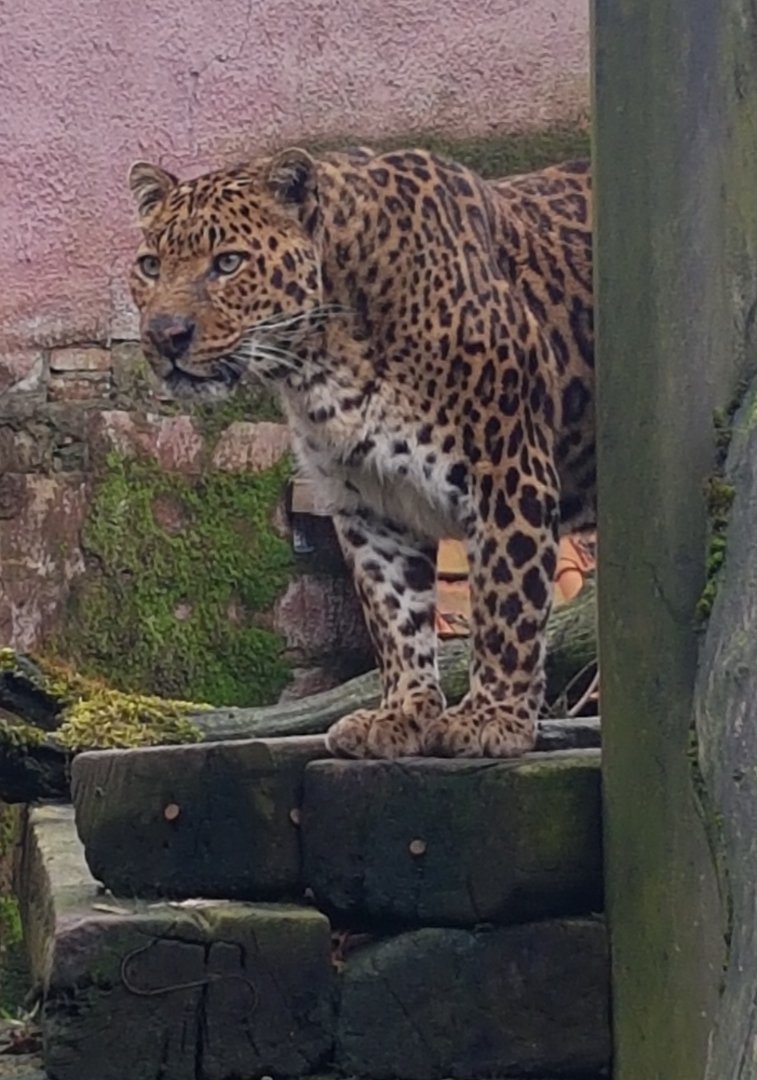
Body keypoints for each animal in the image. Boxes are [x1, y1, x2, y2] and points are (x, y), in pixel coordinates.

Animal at [126, 144, 593, 760]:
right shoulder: (369, 499)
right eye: (150, 266)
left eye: (227, 263)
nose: (165, 334)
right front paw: (402, 715)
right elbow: (394, 614)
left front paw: (492, 718)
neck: (323, 362)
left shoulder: (508, 470)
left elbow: (505, 602)